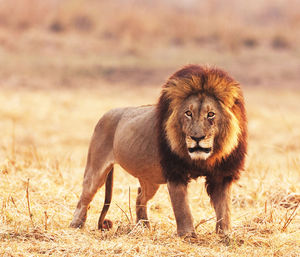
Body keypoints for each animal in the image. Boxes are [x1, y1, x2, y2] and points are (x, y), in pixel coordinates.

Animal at [69, 64, 246, 236]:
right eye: (188, 113)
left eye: (211, 114)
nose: (197, 137)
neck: (203, 159)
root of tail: (106, 113)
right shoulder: (175, 173)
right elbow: (183, 208)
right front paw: (188, 236)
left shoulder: (222, 174)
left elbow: (224, 209)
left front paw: (225, 235)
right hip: (96, 169)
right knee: (84, 197)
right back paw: (76, 225)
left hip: (151, 179)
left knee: (140, 196)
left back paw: (143, 226)